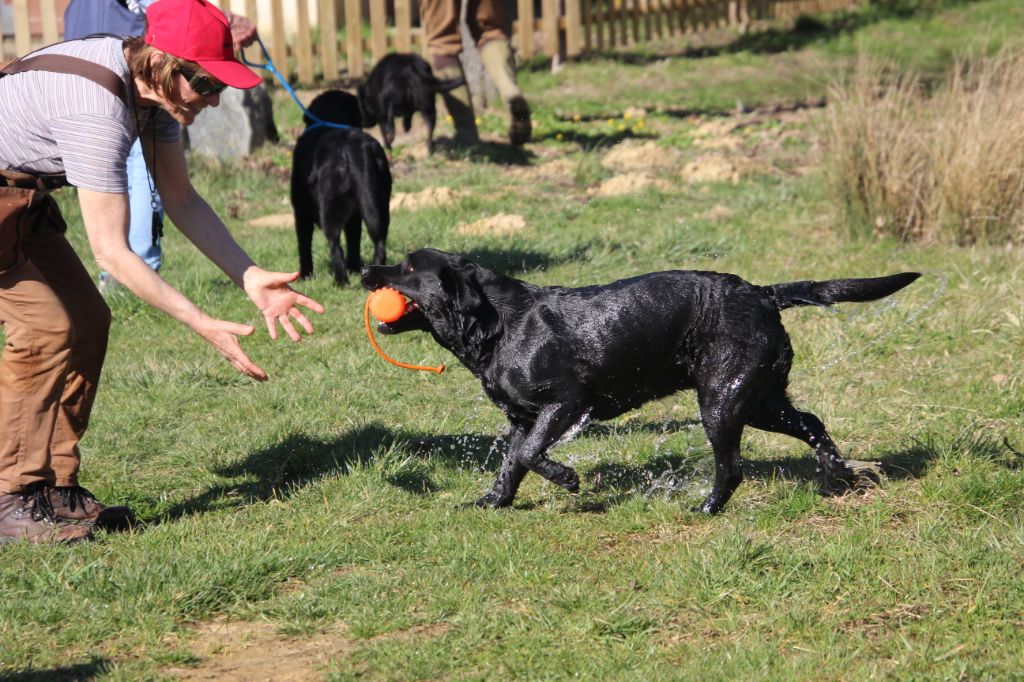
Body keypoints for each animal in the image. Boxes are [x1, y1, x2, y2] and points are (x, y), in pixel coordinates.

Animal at [292, 89, 395, 280]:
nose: (372, 116)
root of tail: (353, 149)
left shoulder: (301, 211)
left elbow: (304, 245)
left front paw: (305, 275)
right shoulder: (355, 216)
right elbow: (354, 241)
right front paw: (354, 267)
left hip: (330, 208)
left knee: (335, 245)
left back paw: (340, 280)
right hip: (379, 206)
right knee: (379, 241)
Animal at [364, 250, 925, 516]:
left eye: (408, 267)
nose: (367, 270)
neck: (499, 324)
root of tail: (763, 293)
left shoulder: (568, 403)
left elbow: (528, 455)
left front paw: (568, 479)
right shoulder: (523, 417)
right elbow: (512, 463)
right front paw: (492, 502)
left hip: (722, 400)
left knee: (732, 466)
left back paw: (707, 509)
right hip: (760, 397)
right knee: (811, 421)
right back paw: (839, 473)